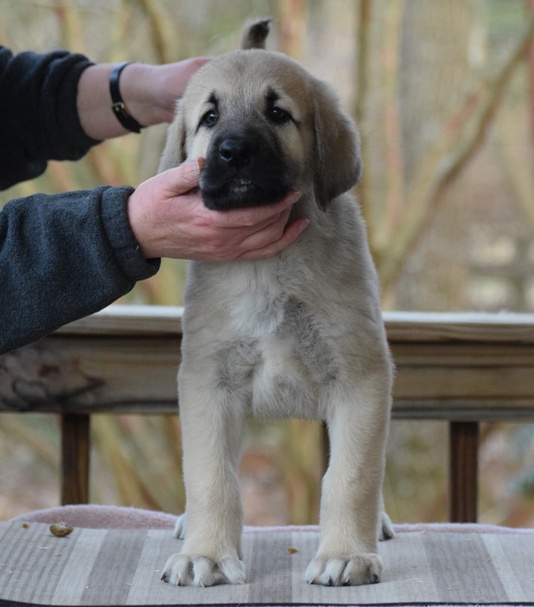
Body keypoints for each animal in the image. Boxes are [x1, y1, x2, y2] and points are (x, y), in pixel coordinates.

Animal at [159, 19, 394, 588]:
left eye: (278, 113)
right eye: (210, 117)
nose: (234, 152)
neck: (270, 264)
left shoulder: (360, 377)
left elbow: (351, 475)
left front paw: (346, 553)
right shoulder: (208, 381)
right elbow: (211, 477)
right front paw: (206, 552)